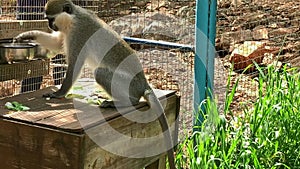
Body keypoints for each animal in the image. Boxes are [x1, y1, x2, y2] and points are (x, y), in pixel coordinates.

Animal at [15, 0, 176, 168]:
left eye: (51, 19)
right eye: (47, 19)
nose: (50, 25)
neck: (72, 18)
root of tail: (143, 83)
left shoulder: (79, 33)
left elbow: (74, 64)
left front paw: (58, 93)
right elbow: (57, 44)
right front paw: (27, 35)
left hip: (128, 83)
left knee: (100, 74)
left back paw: (126, 102)